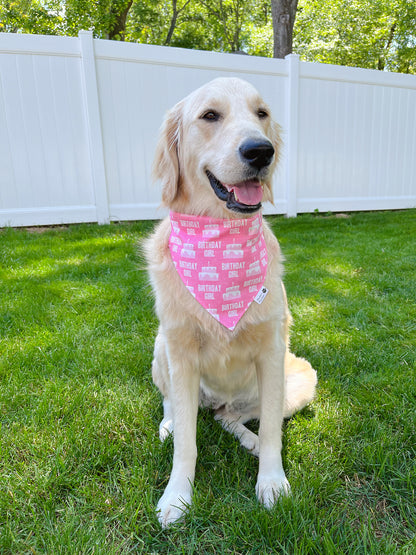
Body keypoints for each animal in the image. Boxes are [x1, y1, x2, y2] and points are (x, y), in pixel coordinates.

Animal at [145, 77, 316, 524]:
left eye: (262, 113)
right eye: (210, 115)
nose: (261, 151)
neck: (220, 238)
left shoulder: (272, 352)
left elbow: (272, 428)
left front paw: (271, 481)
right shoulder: (180, 353)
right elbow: (186, 444)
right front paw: (177, 496)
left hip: (300, 378)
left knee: (231, 417)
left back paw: (247, 438)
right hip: (161, 347)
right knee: (174, 406)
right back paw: (169, 425)